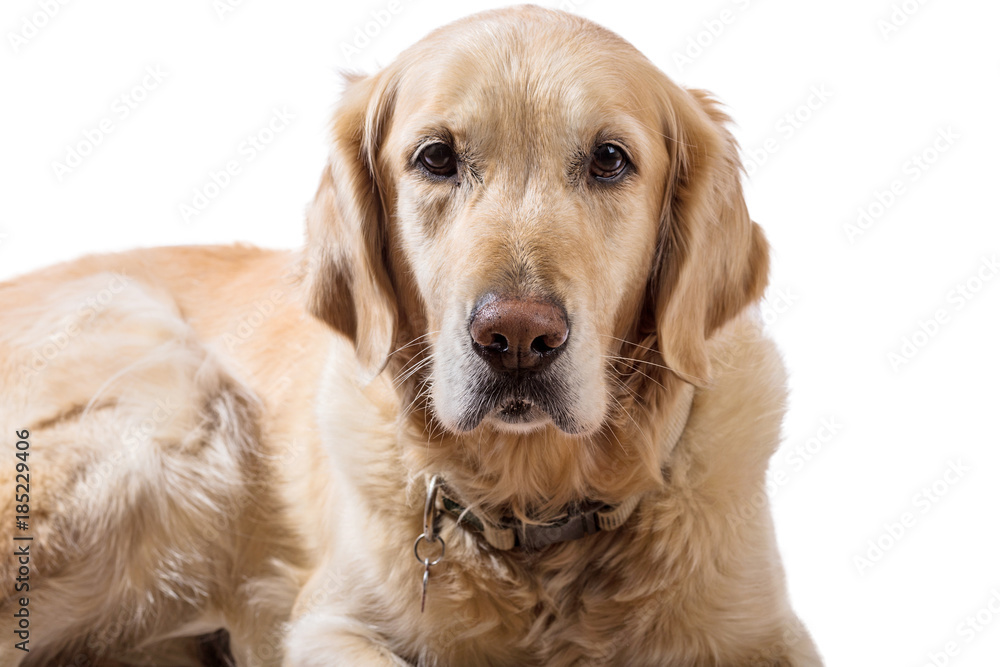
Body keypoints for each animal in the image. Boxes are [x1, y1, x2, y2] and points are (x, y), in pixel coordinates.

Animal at [1, 6, 820, 667]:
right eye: (436, 157)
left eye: (610, 159)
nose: (516, 336)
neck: (536, 512)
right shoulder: (321, 624)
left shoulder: (769, 633)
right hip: (178, 402)